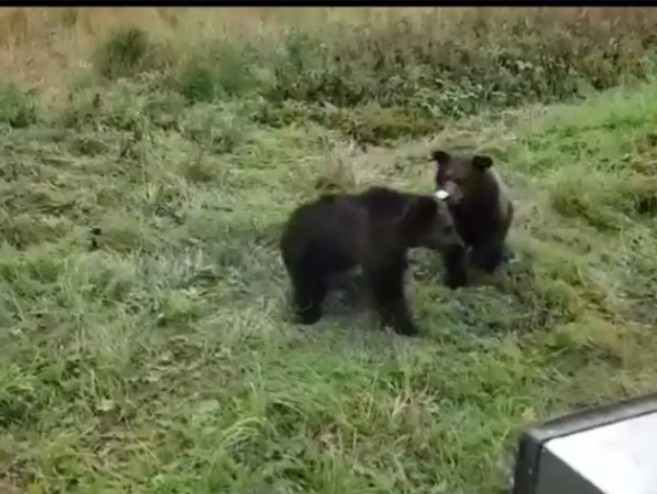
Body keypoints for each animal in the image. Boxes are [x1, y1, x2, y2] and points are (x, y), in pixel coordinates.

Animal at [276, 185, 466, 336]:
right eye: (448, 228)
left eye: (452, 225)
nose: (459, 245)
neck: (399, 229)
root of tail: (287, 226)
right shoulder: (377, 246)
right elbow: (388, 287)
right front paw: (407, 326)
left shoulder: (394, 250)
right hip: (308, 255)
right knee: (307, 287)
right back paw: (307, 315)